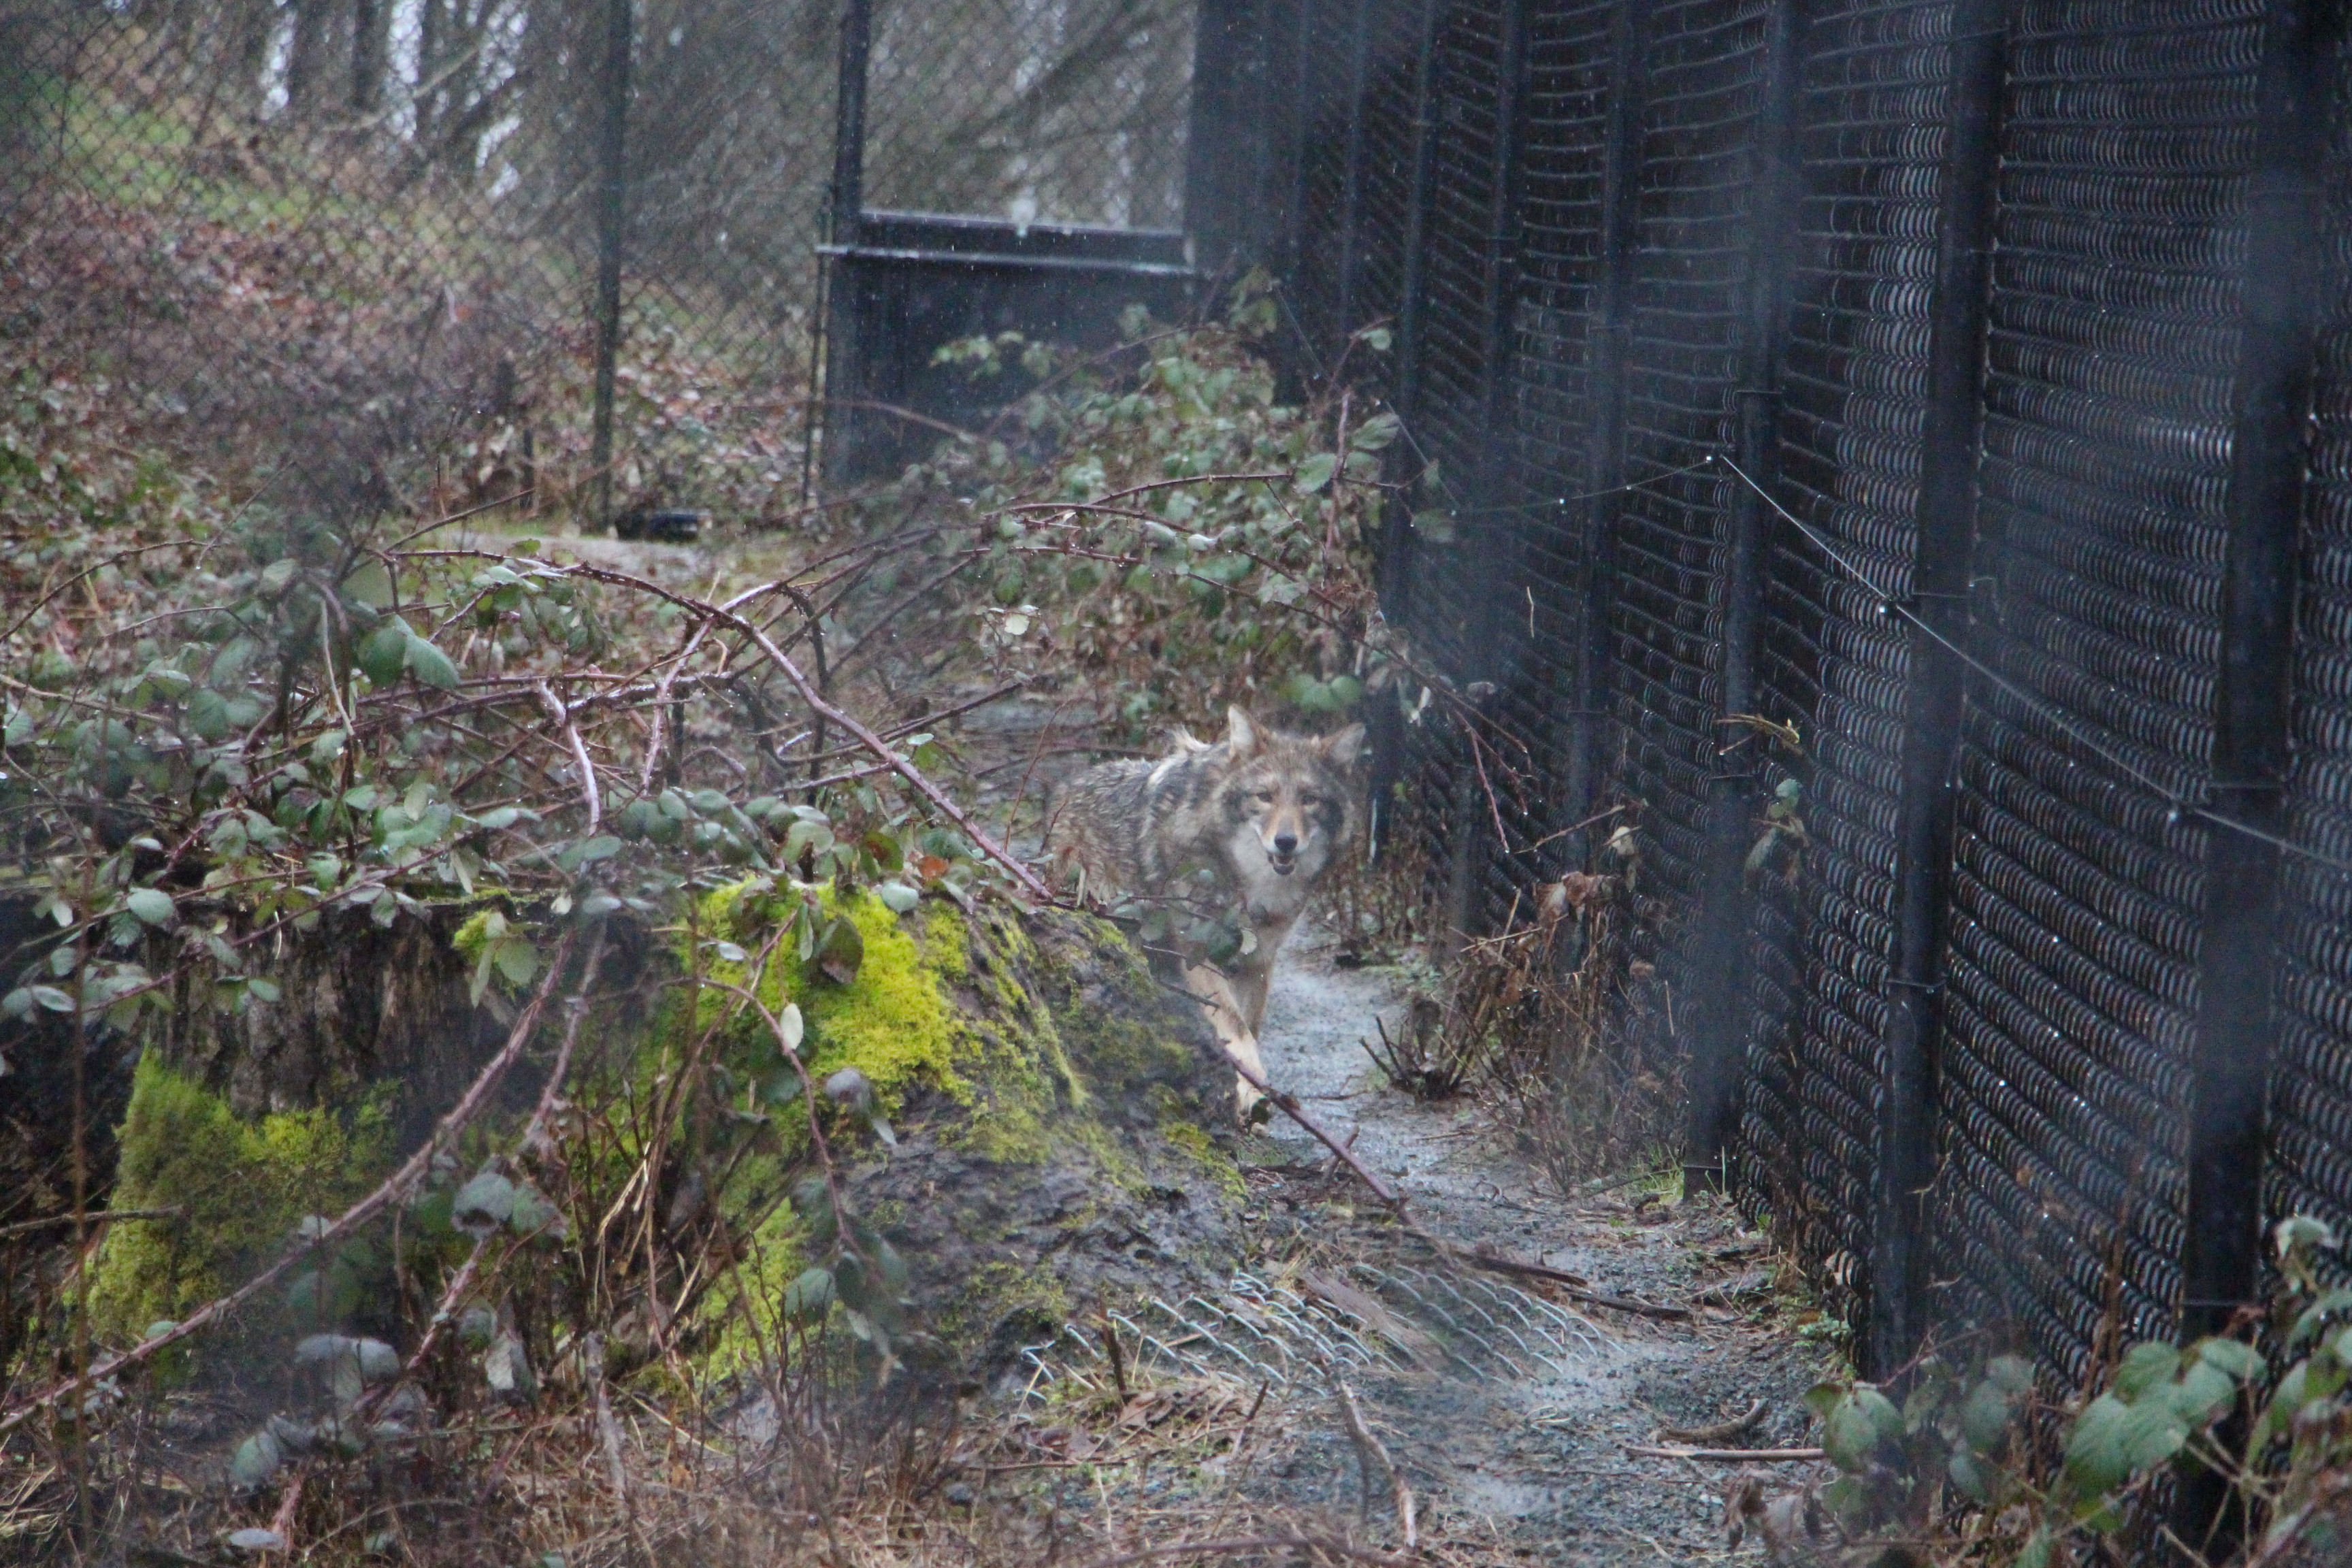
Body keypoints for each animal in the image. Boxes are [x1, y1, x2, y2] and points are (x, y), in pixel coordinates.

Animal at [1046, 706, 1366, 1118]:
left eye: (1309, 799)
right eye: (1264, 797)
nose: (1286, 842)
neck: (1252, 886)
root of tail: (1068, 785)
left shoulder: (1258, 960)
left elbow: (1250, 1027)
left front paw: (1251, 1092)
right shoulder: (1199, 953)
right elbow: (1236, 1027)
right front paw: (1251, 1094)